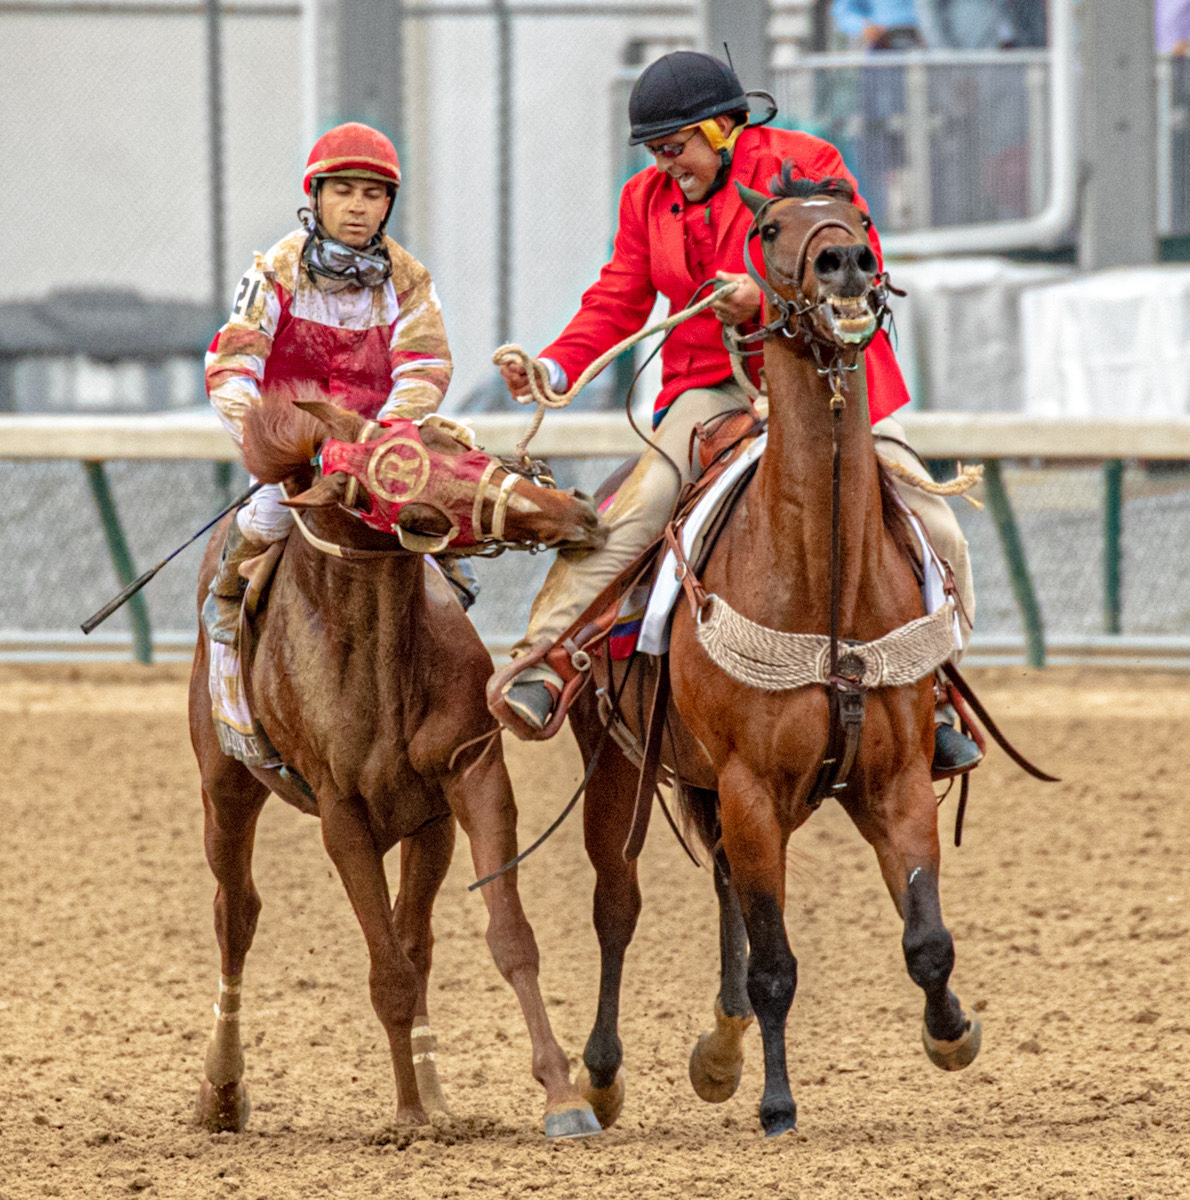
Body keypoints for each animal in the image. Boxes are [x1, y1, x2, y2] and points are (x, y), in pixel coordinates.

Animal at [191, 388, 609, 1137]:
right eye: (415, 514)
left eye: (457, 442)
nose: (573, 510)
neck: (377, 666)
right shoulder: (342, 815)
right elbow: (387, 973)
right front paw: (408, 1114)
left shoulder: (472, 777)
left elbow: (507, 938)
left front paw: (561, 1095)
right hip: (225, 792)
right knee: (236, 913)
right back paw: (223, 1091)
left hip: (425, 826)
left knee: (416, 939)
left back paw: (434, 1089)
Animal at [566, 174, 974, 1137]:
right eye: (772, 228)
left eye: (859, 216)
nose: (845, 262)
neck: (823, 586)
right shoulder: (752, 788)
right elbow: (776, 963)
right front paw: (780, 1104)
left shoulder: (895, 778)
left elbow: (927, 940)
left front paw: (951, 1034)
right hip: (619, 767)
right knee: (617, 906)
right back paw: (601, 1075)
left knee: (721, 891)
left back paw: (720, 1048)